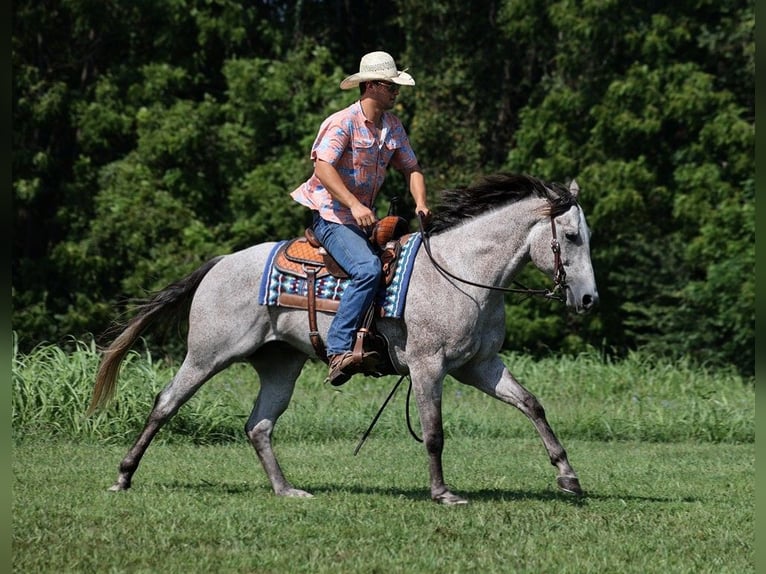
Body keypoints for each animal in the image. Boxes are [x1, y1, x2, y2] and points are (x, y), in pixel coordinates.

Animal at [88, 173, 600, 506]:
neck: (462, 275)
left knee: (259, 425)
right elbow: (434, 432)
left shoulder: (481, 366)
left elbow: (532, 405)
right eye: (571, 235)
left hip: (279, 364)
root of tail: (219, 263)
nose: (589, 298)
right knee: (166, 403)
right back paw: (122, 477)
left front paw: (568, 476)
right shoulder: (427, 366)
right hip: (206, 355)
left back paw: (286, 490)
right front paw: (442, 493)